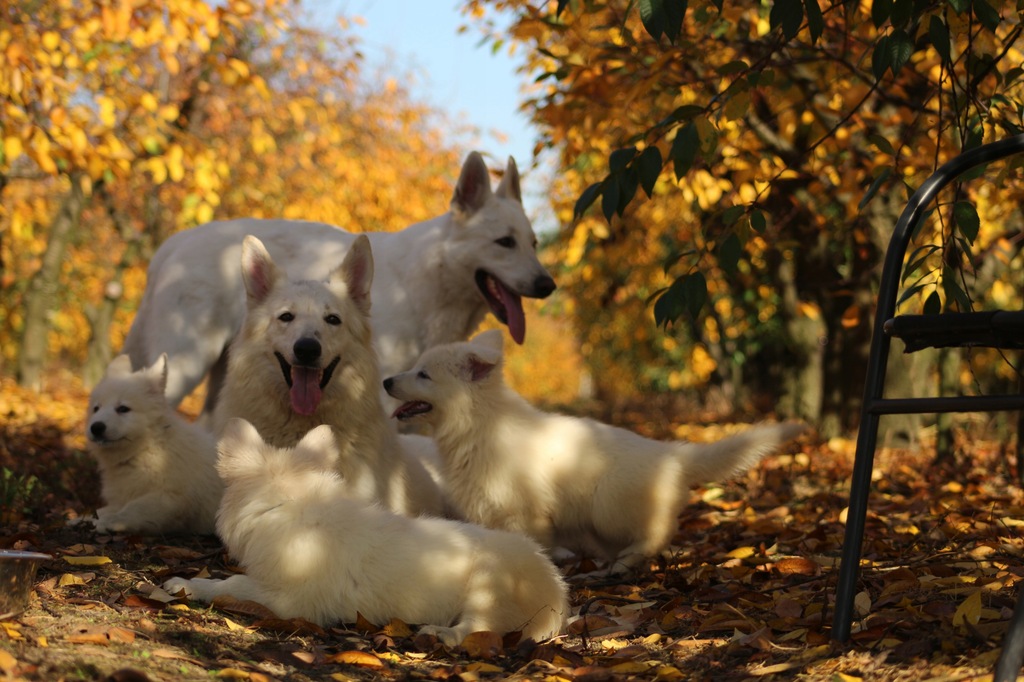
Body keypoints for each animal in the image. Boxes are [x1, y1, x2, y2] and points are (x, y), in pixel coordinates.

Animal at [83, 352, 222, 532]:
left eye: (123, 409)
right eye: (96, 409)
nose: (96, 427)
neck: (148, 448)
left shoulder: (173, 497)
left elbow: (135, 507)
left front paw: (110, 522)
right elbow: (104, 509)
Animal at [163, 413, 573, 643]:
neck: (291, 504)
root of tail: (557, 590)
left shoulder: (287, 600)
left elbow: (229, 584)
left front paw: (184, 584)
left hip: (487, 590)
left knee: (477, 629)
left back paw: (440, 634)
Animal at [385, 327, 806, 569]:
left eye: (423, 375)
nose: (387, 381)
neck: (478, 421)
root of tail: (671, 454)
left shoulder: (525, 508)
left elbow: (535, 540)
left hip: (609, 508)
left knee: (659, 530)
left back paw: (627, 561)